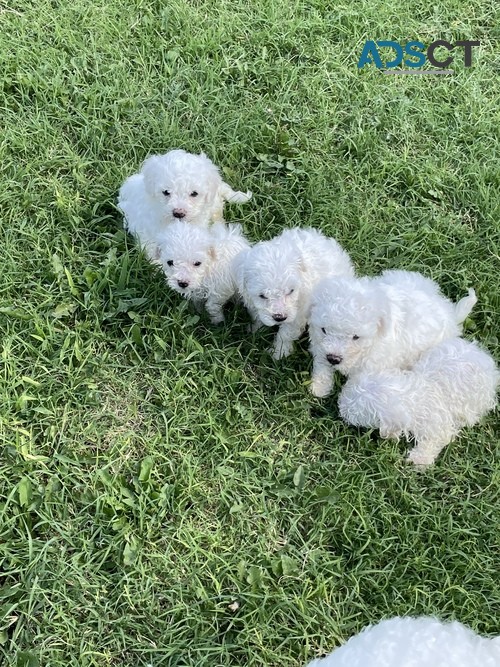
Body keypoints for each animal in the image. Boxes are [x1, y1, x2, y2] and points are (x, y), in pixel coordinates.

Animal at [234, 228, 356, 360]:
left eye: (291, 291)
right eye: (262, 296)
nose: (280, 317)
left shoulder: (298, 314)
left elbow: (285, 334)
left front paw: (278, 353)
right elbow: (257, 316)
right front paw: (255, 329)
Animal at [308, 270, 476, 396]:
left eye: (356, 337)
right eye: (324, 330)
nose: (334, 358)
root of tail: (450, 314)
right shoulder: (320, 346)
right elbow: (321, 365)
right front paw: (319, 388)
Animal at [338, 340, 498, 464]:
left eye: (352, 414)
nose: (339, 409)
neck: (409, 395)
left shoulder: (438, 424)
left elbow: (435, 440)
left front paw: (419, 460)